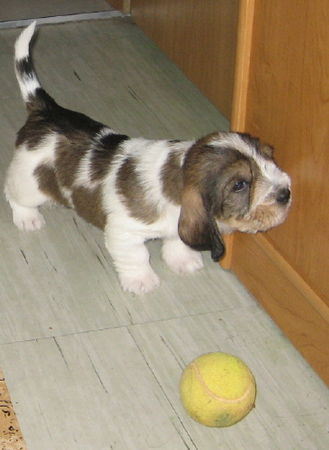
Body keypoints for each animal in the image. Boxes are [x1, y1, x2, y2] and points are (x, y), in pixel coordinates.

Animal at [5, 22, 290, 296]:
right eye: (240, 184)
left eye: (269, 157)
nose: (286, 193)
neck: (174, 179)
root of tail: (47, 110)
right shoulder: (125, 233)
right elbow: (137, 258)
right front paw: (141, 281)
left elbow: (177, 241)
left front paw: (184, 261)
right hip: (28, 182)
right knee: (13, 193)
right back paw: (28, 218)